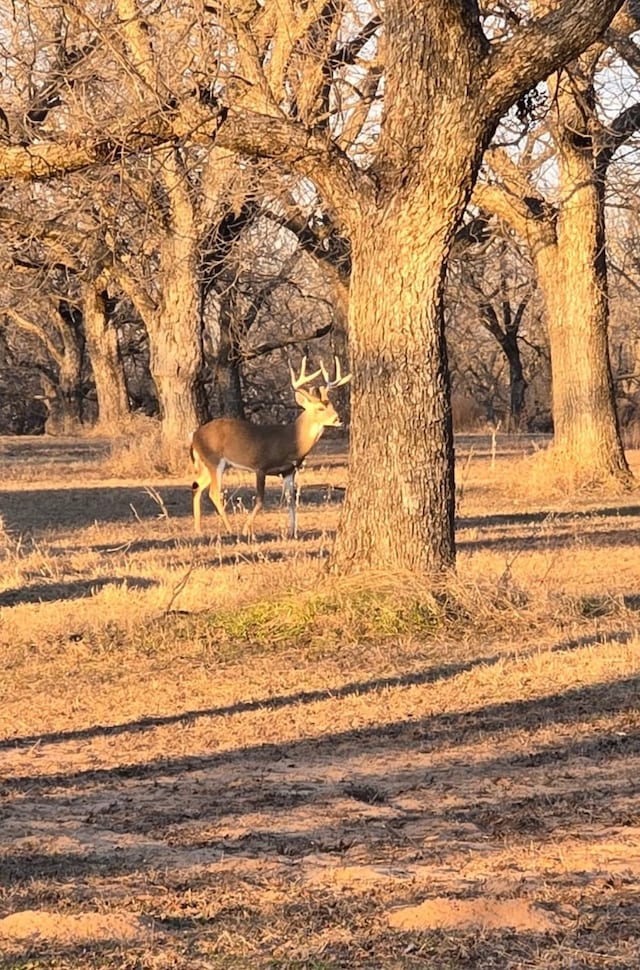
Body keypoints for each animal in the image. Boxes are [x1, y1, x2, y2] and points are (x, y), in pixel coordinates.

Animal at [190, 356, 352, 536]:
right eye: (320, 408)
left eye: (331, 405)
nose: (338, 419)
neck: (291, 440)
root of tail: (195, 436)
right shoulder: (261, 466)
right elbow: (261, 500)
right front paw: (246, 529)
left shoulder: (288, 471)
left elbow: (291, 500)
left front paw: (292, 531)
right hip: (214, 460)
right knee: (213, 492)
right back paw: (230, 529)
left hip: (212, 464)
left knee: (197, 486)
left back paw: (198, 529)